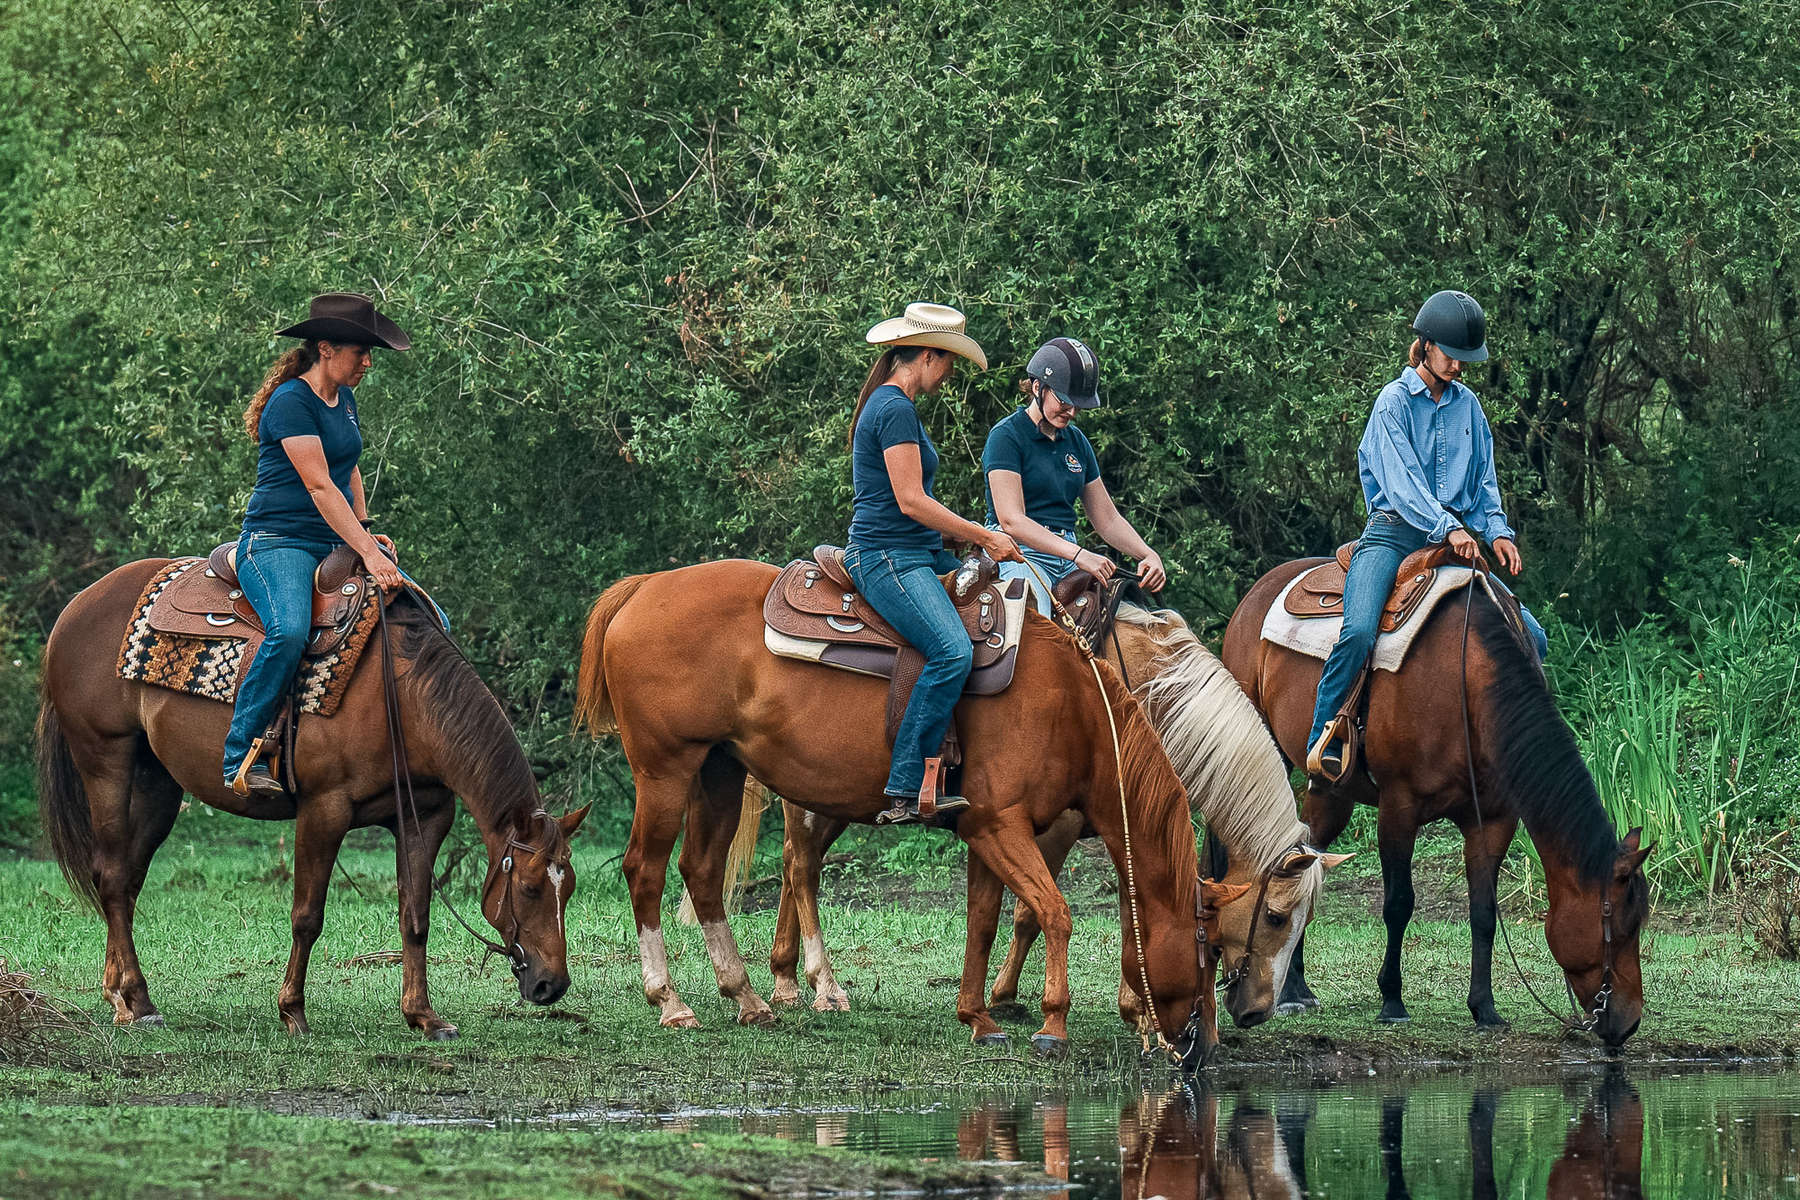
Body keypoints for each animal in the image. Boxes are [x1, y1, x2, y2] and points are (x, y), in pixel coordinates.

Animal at [40, 557, 590, 1036]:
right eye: (531, 888)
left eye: (570, 888)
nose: (552, 985)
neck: (402, 695)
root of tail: (76, 606)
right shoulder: (324, 810)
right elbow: (307, 916)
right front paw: (293, 1012)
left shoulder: (426, 816)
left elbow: (415, 917)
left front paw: (424, 1017)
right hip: (106, 760)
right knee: (112, 877)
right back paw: (138, 1001)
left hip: (157, 783)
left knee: (127, 880)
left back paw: (121, 997)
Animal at [576, 557, 1216, 1065]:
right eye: (1208, 953)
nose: (1204, 1046)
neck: (1072, 706)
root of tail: (644, 587)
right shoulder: (1004, 826)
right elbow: (1054, 912)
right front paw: (1052, 1024)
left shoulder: (986, 830)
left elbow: (984, 920)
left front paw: (978, 1018)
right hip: (665, 771)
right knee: (646, 871)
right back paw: (671, 1001)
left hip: (719, 772)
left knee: (704, 873)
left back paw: (748, 997)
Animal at [766, 600, 1346, 1036]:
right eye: (1276, 917)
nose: (1255, 1012)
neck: (1137, 694)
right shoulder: (1061, 822)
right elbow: (1031, 912)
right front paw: (1010, 998)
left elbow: (1125, 903)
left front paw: (1133, 1007)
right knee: (801, 867)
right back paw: (820, 986)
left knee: (796, 864)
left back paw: (785, 979)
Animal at [1216, 561, 1648, 1043]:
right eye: (1621, 928)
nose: (1629, 1021)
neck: (1465, 684)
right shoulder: (1399, 807)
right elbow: (1399, 903)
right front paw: (1392, 1000)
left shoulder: (1493, 819)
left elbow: (1483, 911)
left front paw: (1485, 1008)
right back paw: (1286, 989)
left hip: (1331, 791)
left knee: (1306, 857)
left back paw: (1297, 988)